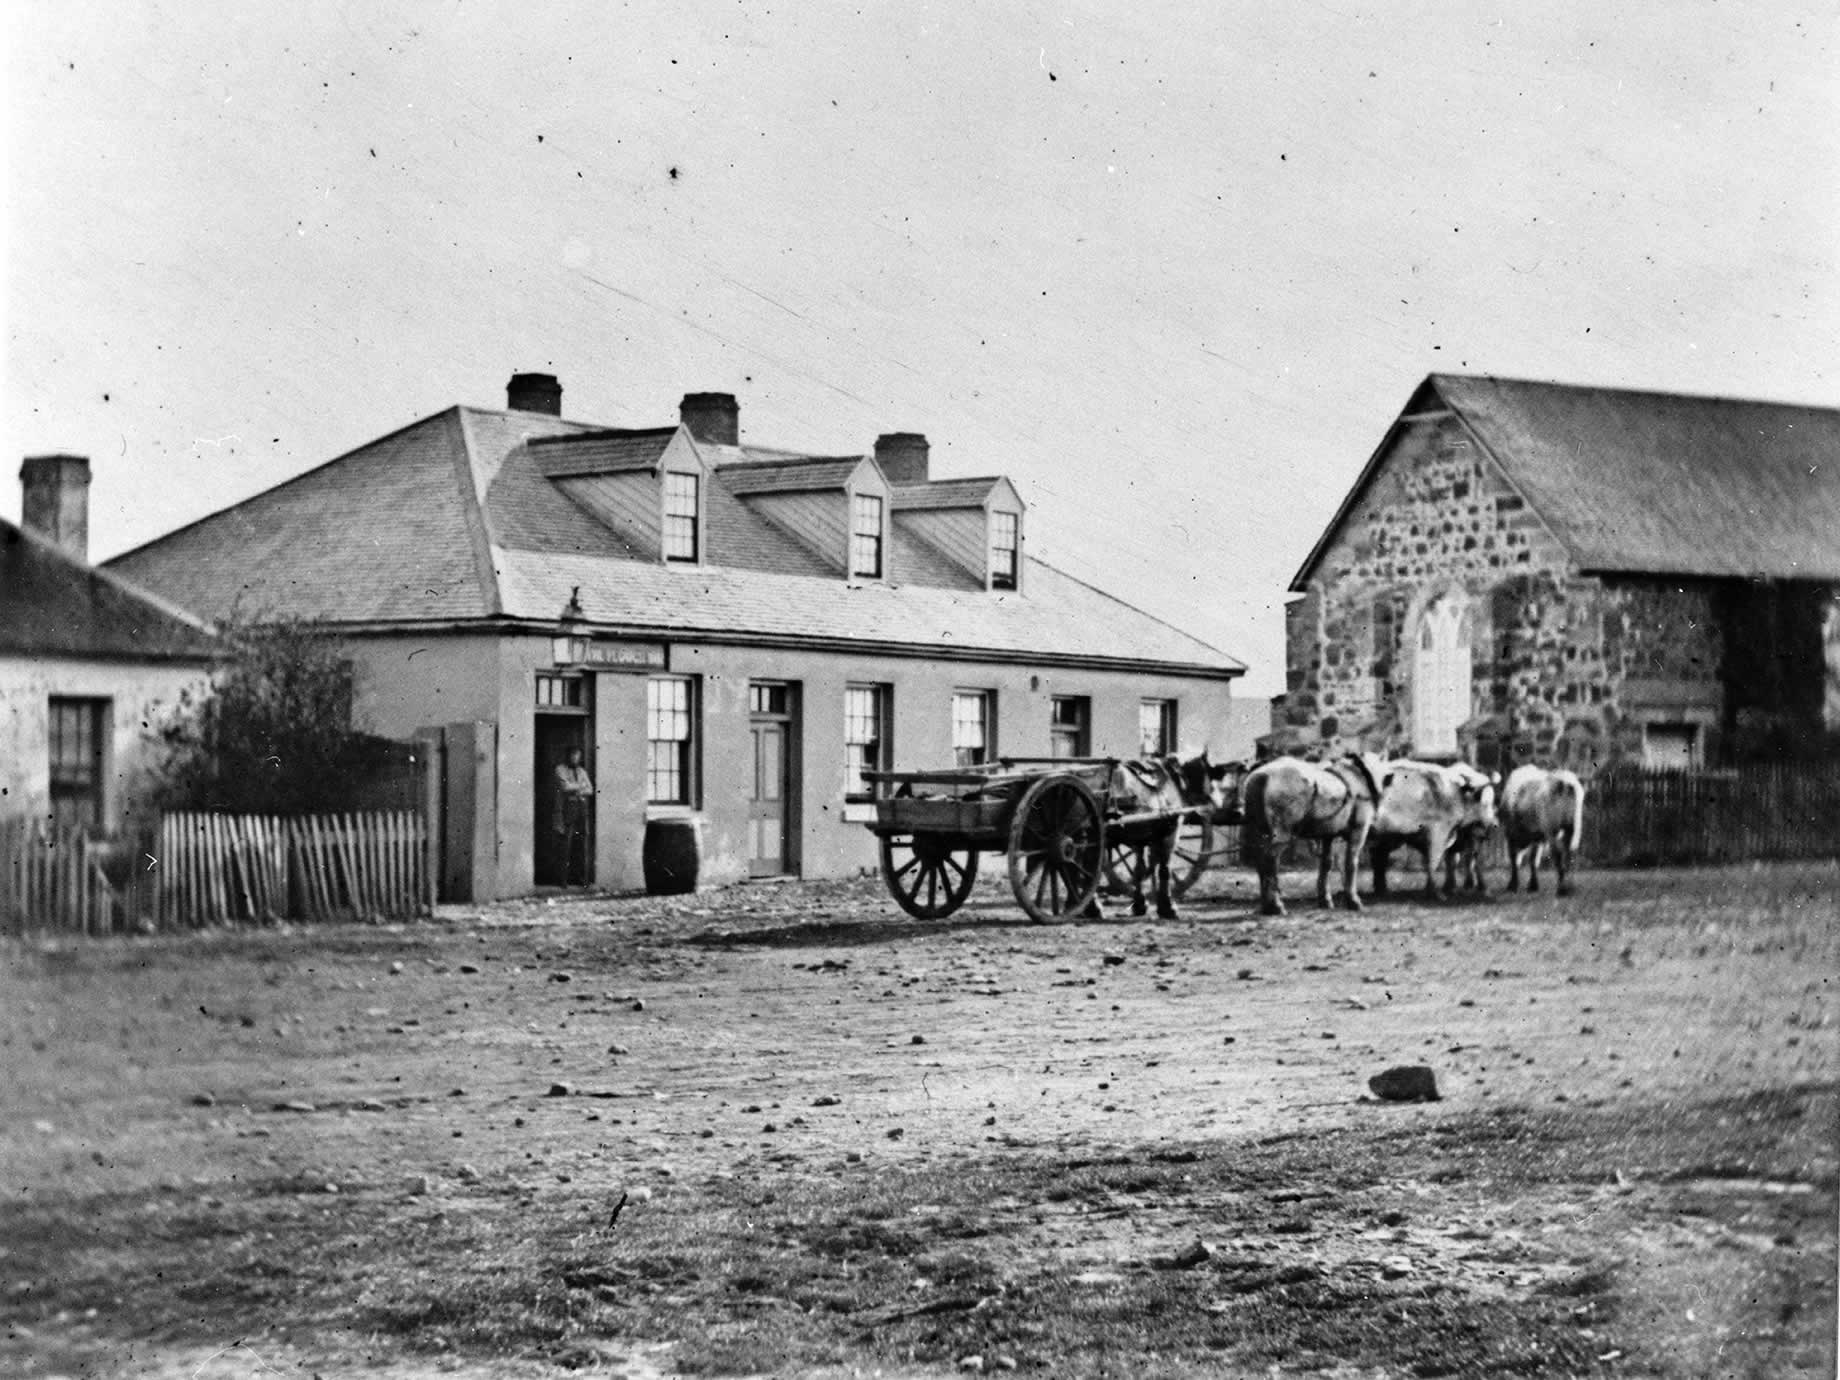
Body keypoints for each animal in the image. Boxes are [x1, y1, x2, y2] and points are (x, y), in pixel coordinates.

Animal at [1089, 750, 1236, 923]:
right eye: (1211, 772)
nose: (1218, 804)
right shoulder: (1169, 834)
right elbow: (1164, 869)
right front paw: (1167, 907)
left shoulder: (1140, 838)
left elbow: (1139, 870)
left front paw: (1139, 905)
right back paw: (1093, 908)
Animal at [1236, 758, 1383, 920]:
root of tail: (1262, 775)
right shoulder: (1359, 830)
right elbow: (1351, 863)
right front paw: (1354, 901)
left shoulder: (1328, 835)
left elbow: (1326, 864)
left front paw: (1325, 900)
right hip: (1282, 834)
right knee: (1270, 860)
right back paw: (1276, 906)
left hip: (1260, 831)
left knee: (1260, 861)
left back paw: (1266, 906)